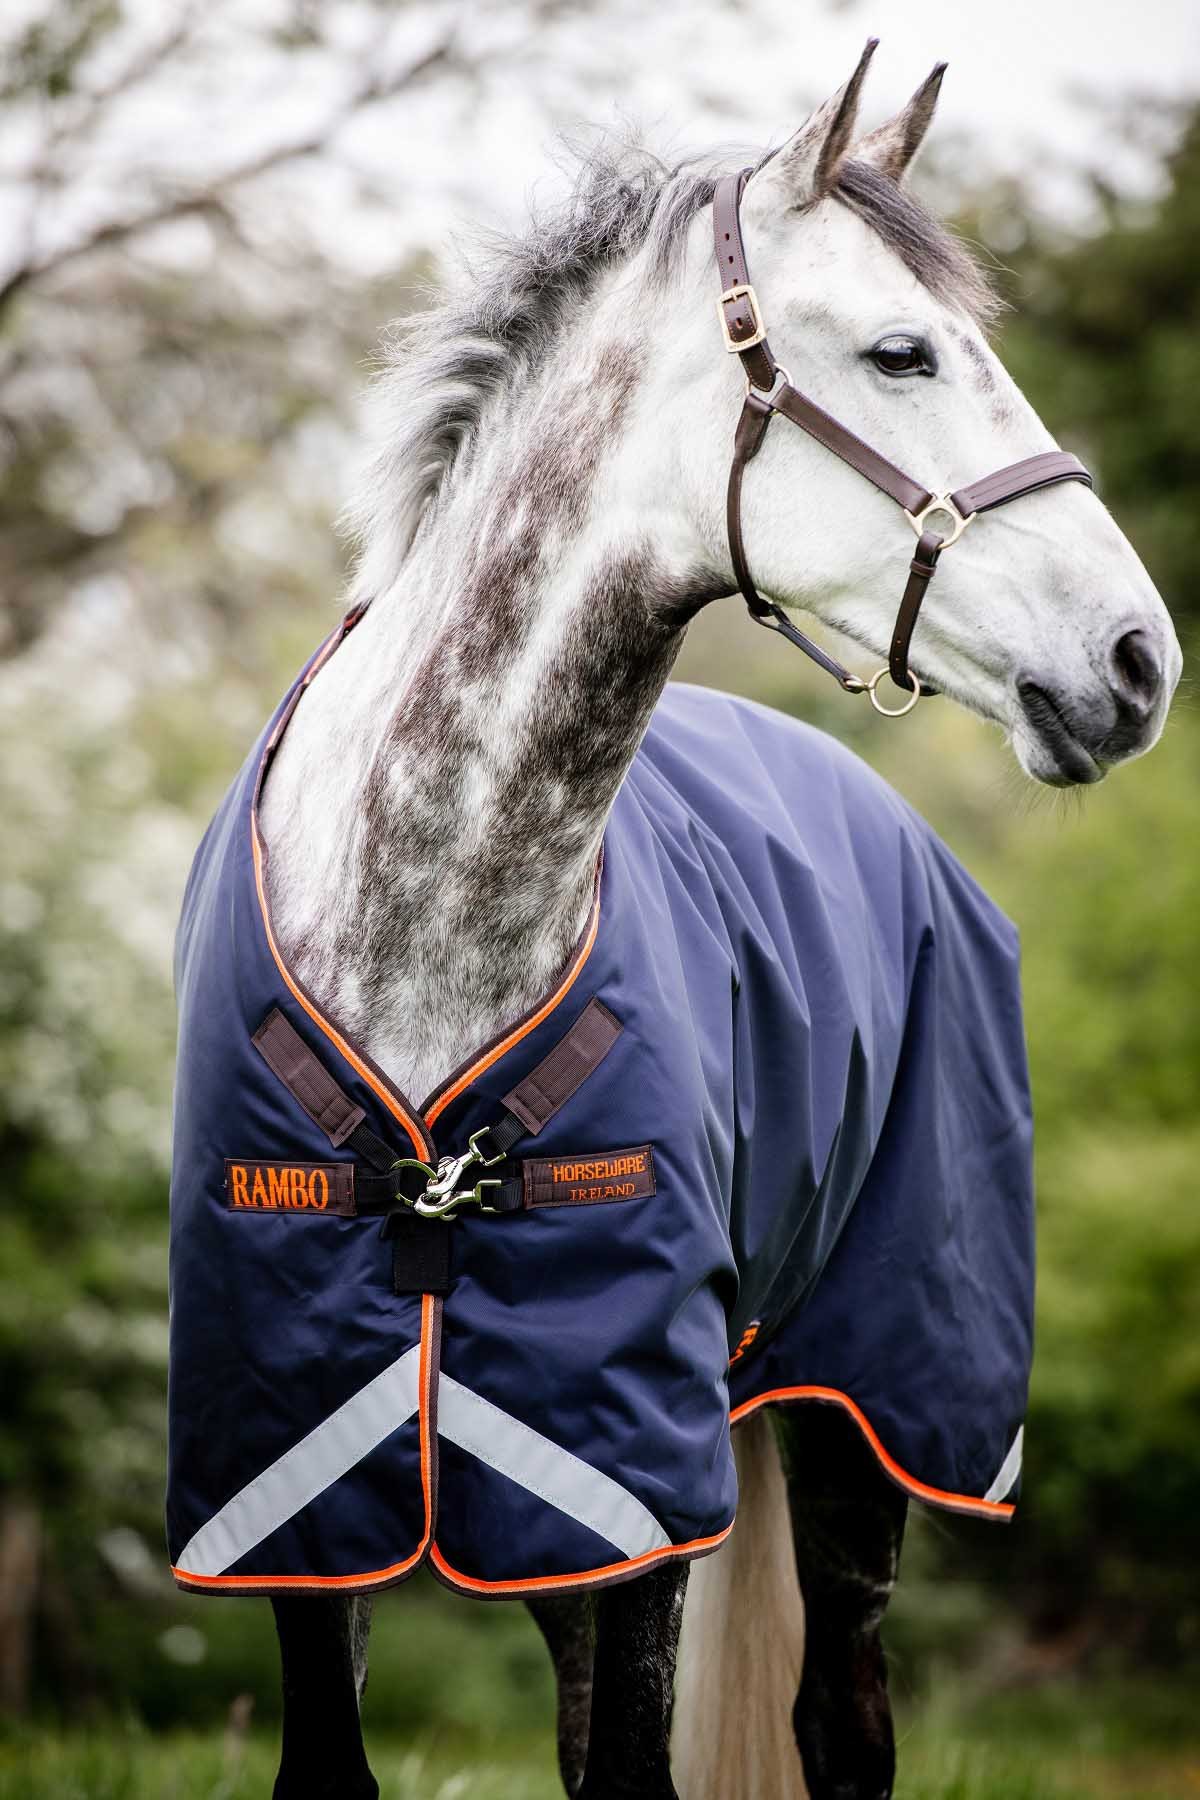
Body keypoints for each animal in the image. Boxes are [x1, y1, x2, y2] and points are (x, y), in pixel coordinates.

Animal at [168, 42, 1179, 1800]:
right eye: (903, 350)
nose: (1137, 661)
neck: (424, 920)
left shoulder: (634, 1460)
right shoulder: (303, 1464)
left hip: (871, 1404)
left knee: (843, 1720)